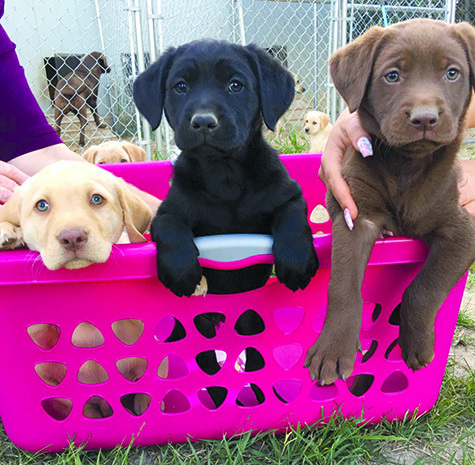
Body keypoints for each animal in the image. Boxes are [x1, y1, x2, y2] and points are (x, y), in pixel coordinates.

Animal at [134, 41, 318, 300]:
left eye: (235, 85)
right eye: (181, 86)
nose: (203, 121)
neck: (224, 172)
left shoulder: (289, 194)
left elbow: (292, 215)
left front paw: (297, 262)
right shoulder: (167, 210)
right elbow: (169, 225)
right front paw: (180, 271)